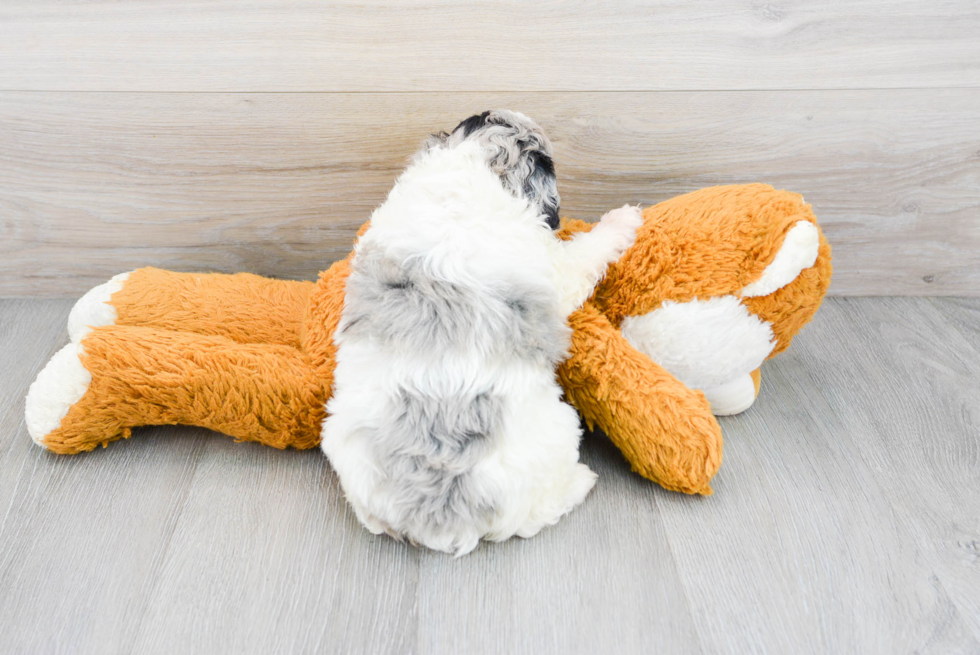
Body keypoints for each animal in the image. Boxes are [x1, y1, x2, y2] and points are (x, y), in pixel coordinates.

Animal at [322, 110, 644, 556]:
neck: (469, 166)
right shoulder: (556, 270)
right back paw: (583, 481)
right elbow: (586, 251)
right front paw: (624, 218)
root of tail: (440, 513)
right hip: (560, 429)